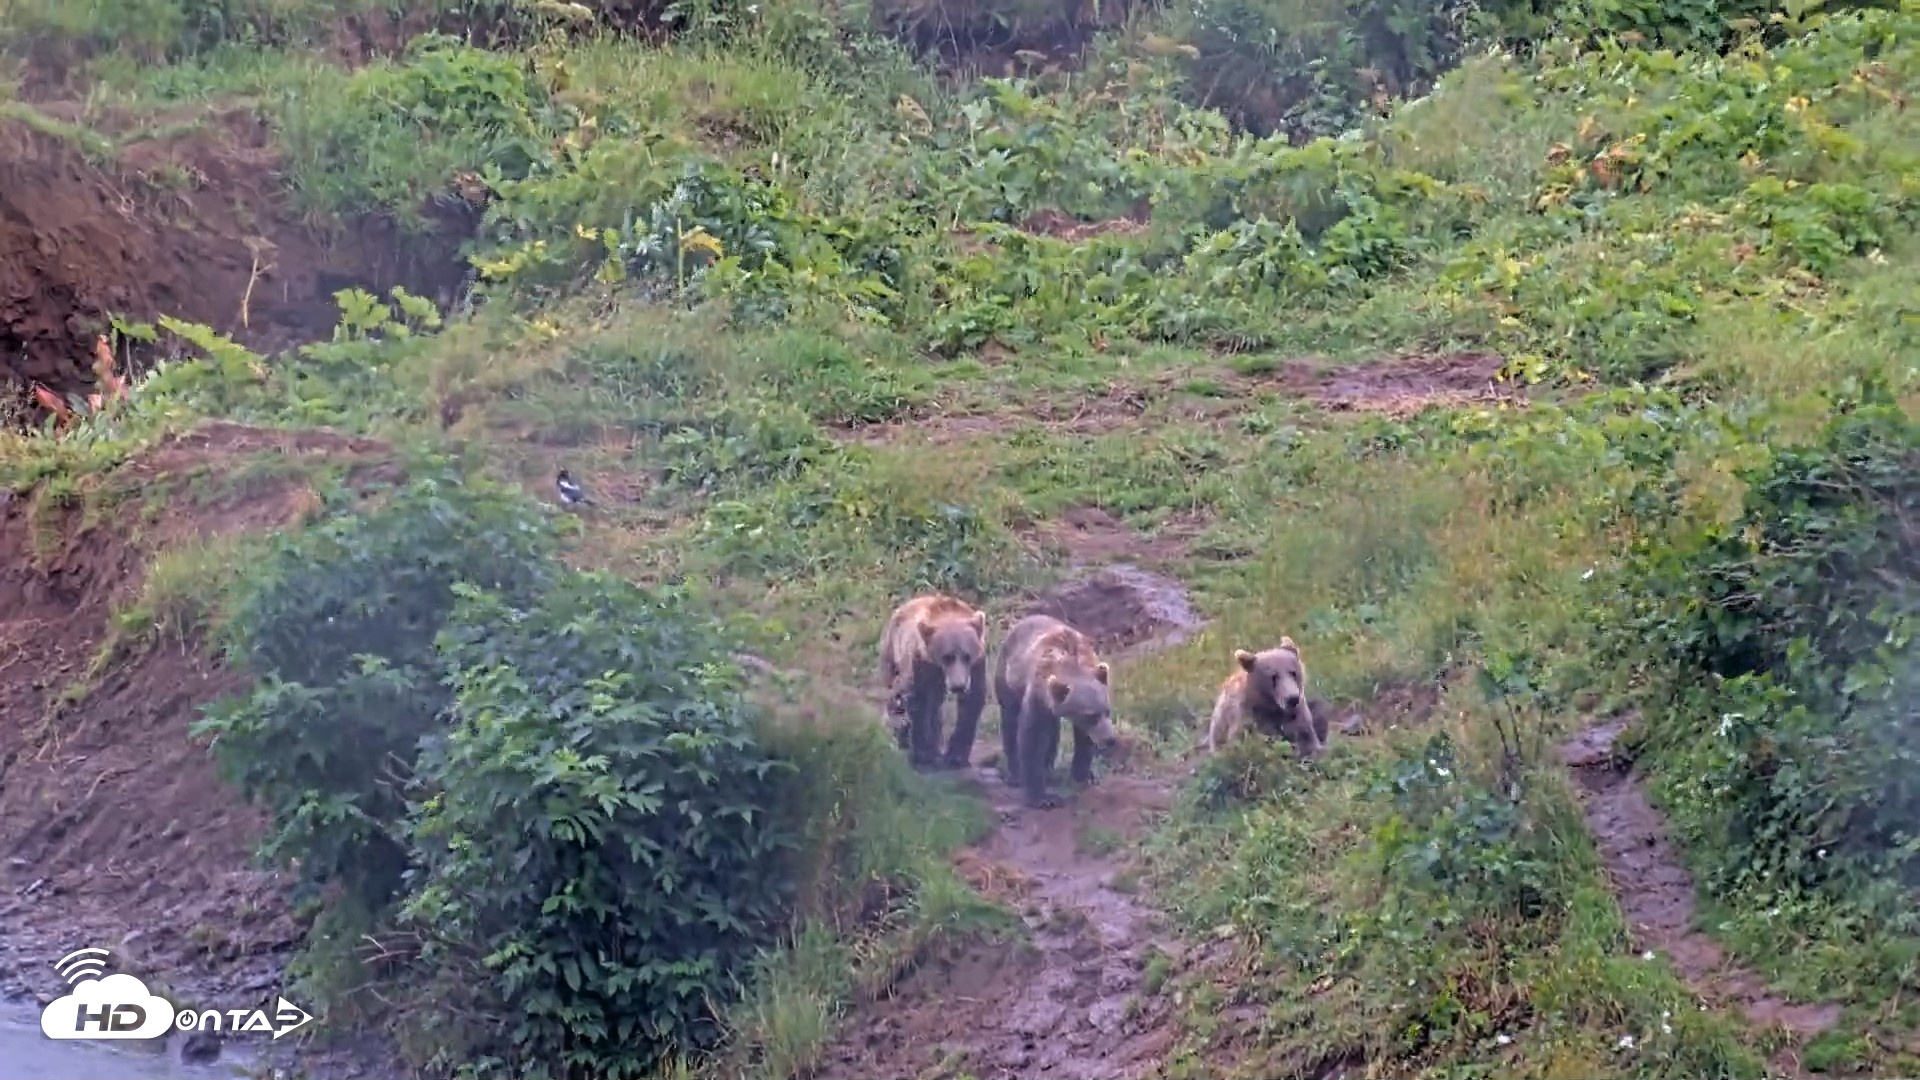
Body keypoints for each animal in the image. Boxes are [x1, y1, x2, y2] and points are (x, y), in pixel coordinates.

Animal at [879, 593, 989, 770]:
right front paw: (924, 755)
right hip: (892, 647)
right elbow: (919, 700)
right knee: (894, 691)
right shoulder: (920, 660)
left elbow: (973, 700)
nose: (958, 686)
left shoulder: (977, 663)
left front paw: (956, 757)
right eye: (947, 657)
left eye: (967, 656)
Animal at [995, 613, 1119, 808]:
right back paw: (1015, 774)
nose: (1110, 739)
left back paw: (1049, 768)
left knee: (1052, 731)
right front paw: (1041, 797)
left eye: (1108, 711)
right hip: (1007, 678)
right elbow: (1032, 737)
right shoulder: (1038, 695)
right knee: (1010, 721)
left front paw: (1084, 775)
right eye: (1091, 716)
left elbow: (1083, 740)